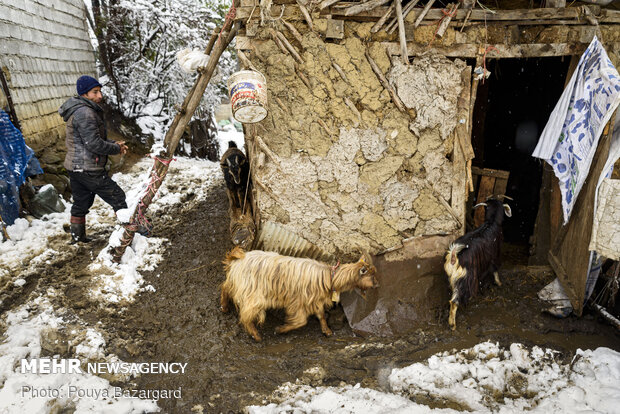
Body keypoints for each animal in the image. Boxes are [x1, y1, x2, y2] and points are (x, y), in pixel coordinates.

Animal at [223, 247, 378, 342]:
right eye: (370, 275)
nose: (377, 285)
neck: (329, 276)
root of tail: (237, 259)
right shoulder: (298, 301)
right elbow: (301, 321)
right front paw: (281, 329)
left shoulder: (314, 300)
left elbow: (321, 315)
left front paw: (327, 330)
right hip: (253, 293)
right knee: (246, 315)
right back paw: (255, 335)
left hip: (237, 283)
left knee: (224, 288)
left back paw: (224, 307)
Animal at [444, 199, 512, 332]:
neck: (491, 223)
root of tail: (454, 255)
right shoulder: (495, 255)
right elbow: (495, 269)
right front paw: (499, 283)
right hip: (465, 278)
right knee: (455, 301)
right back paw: (453, 325)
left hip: (454, 278)